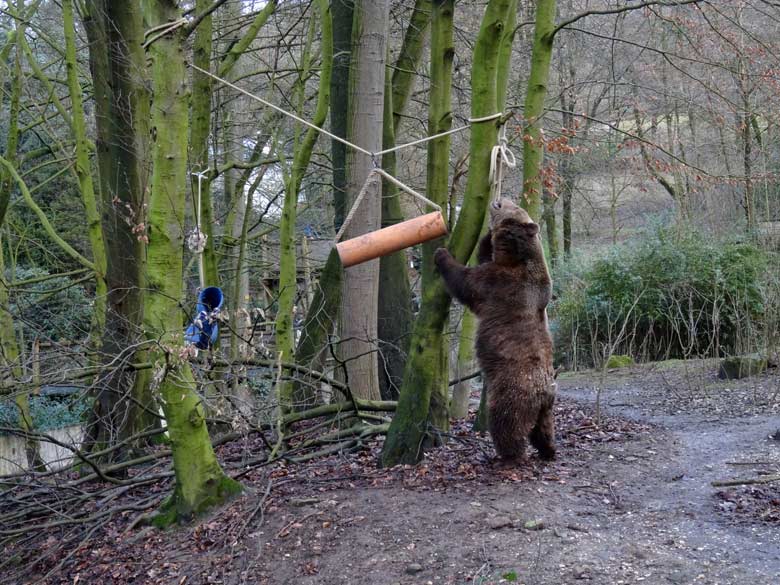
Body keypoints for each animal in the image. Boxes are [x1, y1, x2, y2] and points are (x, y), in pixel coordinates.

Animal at [432, 198, 556, 464]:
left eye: (512, 209)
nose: (498, 200)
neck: (516, 257)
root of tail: (543, 392)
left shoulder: (500, 284)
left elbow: (467, 282)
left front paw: (442, 254)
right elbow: (482, 257)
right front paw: (485, 237)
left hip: (511, 393)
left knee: (506, 423)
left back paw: (507, 455)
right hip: (547, 405)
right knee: (544, 428)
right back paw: (548, 450)